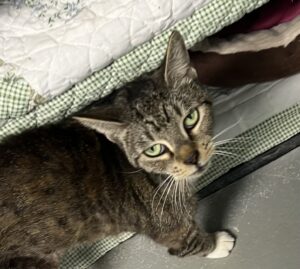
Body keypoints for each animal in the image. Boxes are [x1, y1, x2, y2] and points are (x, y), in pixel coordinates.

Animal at [0, 31, 234, 268]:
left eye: (191, 118)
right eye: (154, 150)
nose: (192, 158)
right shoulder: (173, 231)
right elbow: (193, 242)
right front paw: (217, 243)